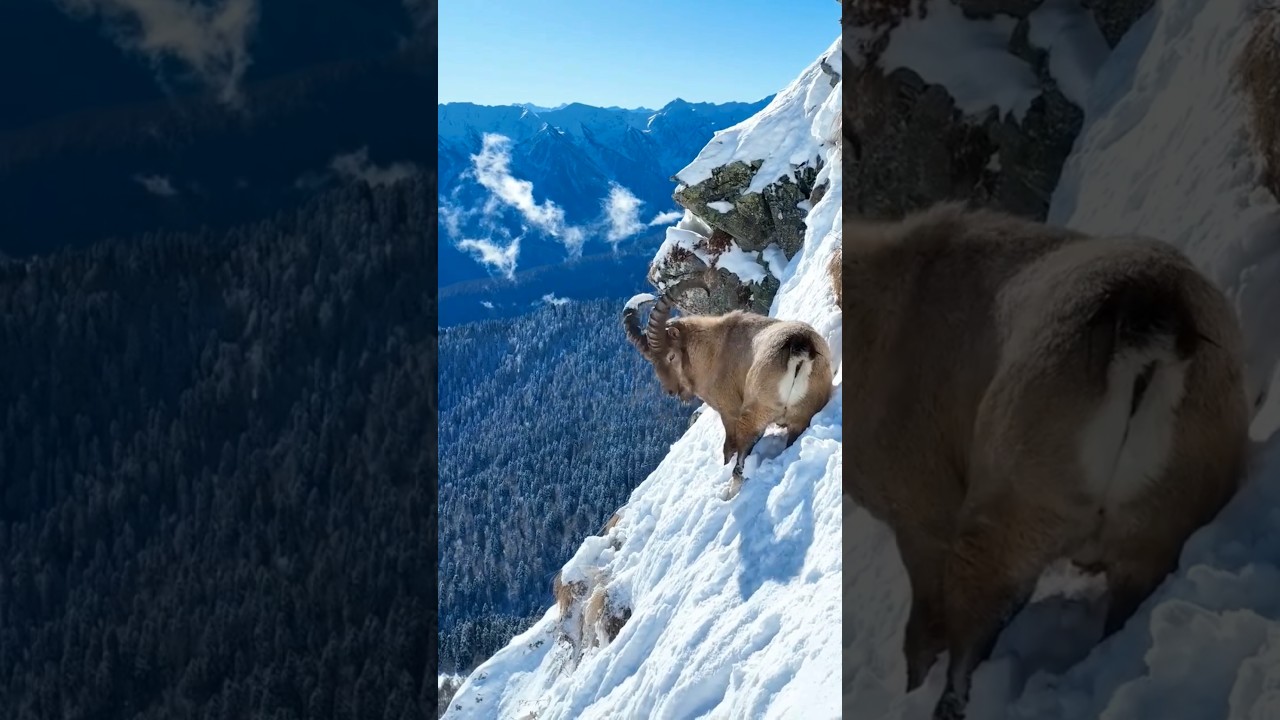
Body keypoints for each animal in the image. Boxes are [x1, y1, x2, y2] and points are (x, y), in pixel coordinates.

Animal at [622, 274, 834, 494]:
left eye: (671, 356)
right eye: (652, 362)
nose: (671, 391)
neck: (713, 350)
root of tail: (800, 346)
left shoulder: (728, 411)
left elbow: (728, 447)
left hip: (754, 415)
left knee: (740, 462)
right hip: (802, 414)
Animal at [838, 202, 1250, 720]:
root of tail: (1154, 315)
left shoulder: (922, 515)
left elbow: (923, 632)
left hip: (1006, 521)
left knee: (968, 652)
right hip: (1160, 525)